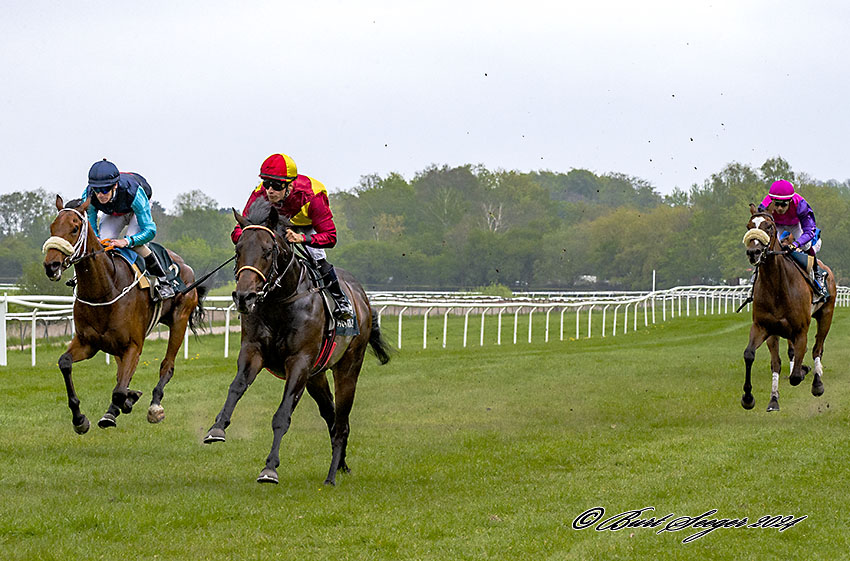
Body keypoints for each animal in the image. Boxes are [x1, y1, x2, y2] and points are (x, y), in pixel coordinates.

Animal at [44, 197, 205, 434]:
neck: (105, 288)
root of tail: (185, 265)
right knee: (121, 374)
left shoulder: (133, 346)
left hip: (179, 320)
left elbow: (120, 390)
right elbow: (65, 363)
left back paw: (152, 406)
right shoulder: (87, 343)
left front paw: (129, 399)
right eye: (52, 227)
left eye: (74, 228)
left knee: (167, 365)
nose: (51, 265)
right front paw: (80, 419)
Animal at [204, 201, 392, 486]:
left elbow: (282, 415)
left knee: (342, 421)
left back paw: (331, 477)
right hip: (316, 376)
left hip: (347, 367)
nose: (244, 297)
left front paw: (270, 468)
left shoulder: (299, 362)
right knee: (332, 417)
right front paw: (217, 427)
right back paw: (341, 465)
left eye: (268, 251)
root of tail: (363, 299)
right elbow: (236, 386)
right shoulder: (253, 350)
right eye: (238, 251)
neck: (279, 300)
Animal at [744, 206, 836, 412]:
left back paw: (817, 383)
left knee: (817, 349)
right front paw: (753, 398)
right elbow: (755, 357)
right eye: (748, 226)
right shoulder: (764, 327)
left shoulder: (801, 331)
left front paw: (803, 372)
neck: (777, 286)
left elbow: (795, 375)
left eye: (769, 226)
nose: (753, 252)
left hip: (826, 315)